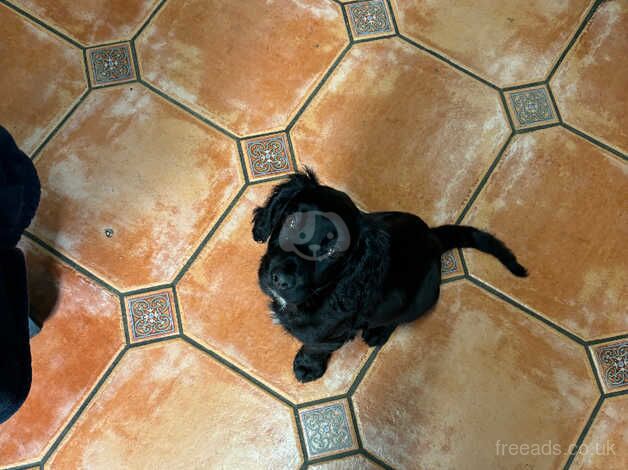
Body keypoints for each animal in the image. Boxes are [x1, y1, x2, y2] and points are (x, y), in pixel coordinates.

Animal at [251, 169, 524, 382]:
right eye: (292, 222)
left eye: (332, 251)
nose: (280, 279)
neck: (322, 294)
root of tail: (433, 238)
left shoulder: (330, 336)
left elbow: (314, 347)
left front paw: (308, 366)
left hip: (417, 301)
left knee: (396, 318)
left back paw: (378, 332)